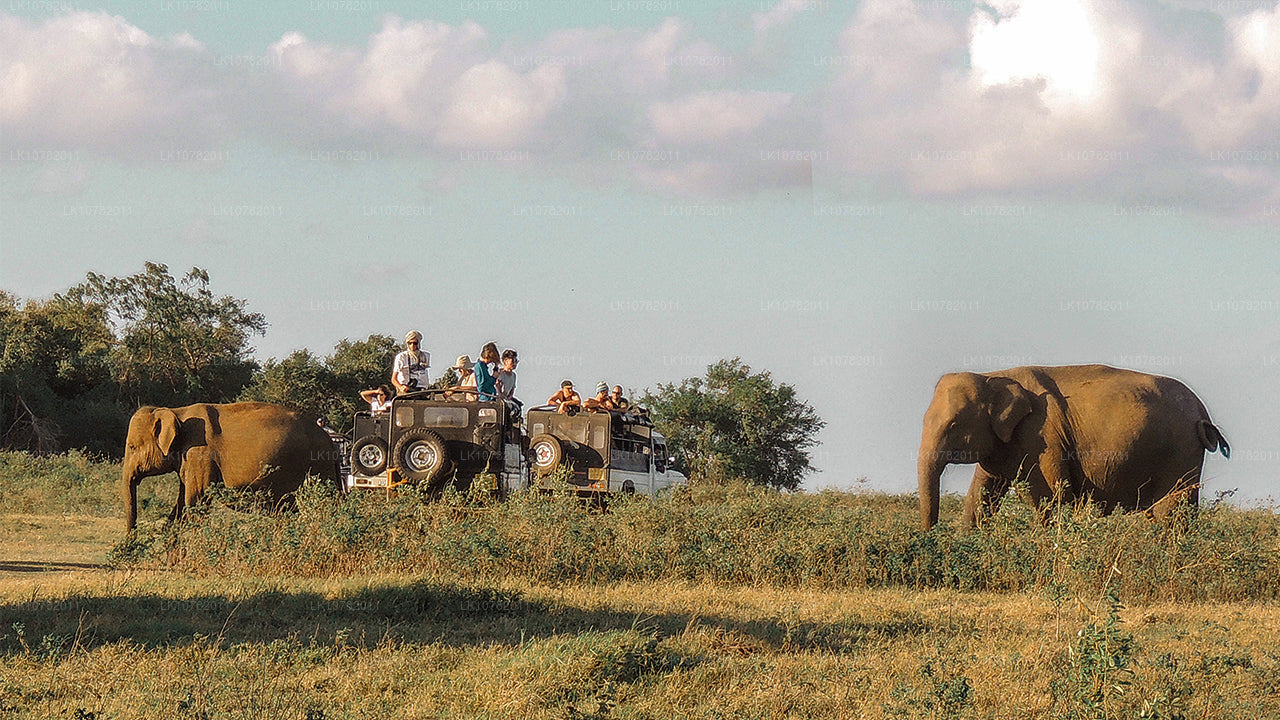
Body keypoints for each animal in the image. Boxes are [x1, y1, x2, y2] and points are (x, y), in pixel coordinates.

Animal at [120, 399, 337, 530]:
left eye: (132, 447)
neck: (175, 411)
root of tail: (329, 439)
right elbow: (181, 505)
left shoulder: (200, 454)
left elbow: (196, 501)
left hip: (317, 466)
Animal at [916, 363, 1223, 527]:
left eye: (953, 425)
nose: (931, 535)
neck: (994, 376)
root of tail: (1203, 413)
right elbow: (982, 494)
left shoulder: (1041, 437)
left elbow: (1050, 496)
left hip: (1180, 451)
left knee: (1170, 513)